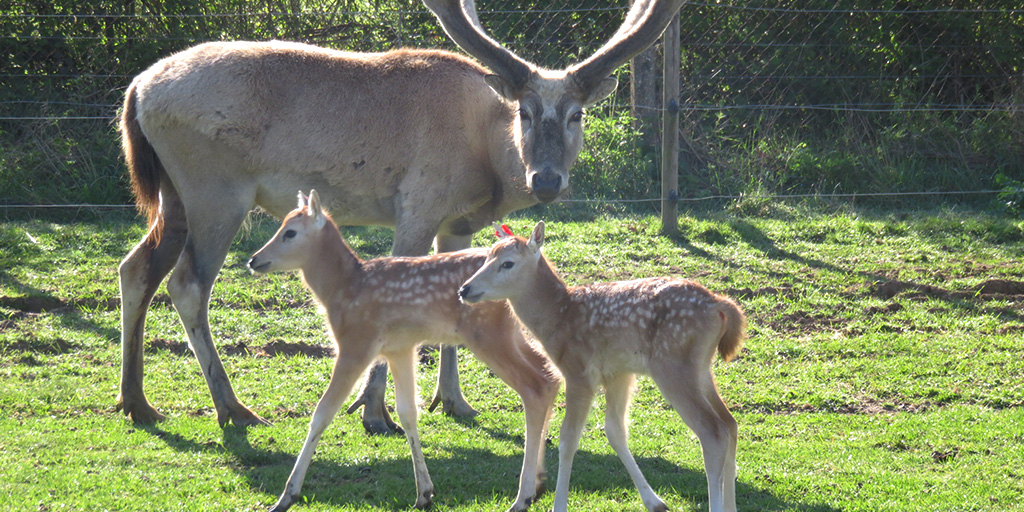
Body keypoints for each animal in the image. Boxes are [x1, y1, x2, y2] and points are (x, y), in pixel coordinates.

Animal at [116, 0, 684, 432]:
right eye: (523, 112)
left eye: (576, 115)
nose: (546, 180)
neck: (485, 158)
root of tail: (136, 88)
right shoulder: (418, 204)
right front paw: (373, 411)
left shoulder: (457, 224)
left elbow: (460, 299)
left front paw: (453, 401)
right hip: (216, 192)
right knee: (187, 282)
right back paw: (232, 407)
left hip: (173, 196)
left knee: (136, 267)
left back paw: (136, 401)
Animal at [247, 192, 557, 512]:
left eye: (290, 232)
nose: (253, 259)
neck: (343, 289)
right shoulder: (400, 348)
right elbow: (408, 412)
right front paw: (424, 492)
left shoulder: (356, 343)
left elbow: (322, 412)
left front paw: (287, 496)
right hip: (511, 331)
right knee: (549, 378)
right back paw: (538, 482)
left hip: (487, 333)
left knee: (534, 388)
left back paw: (524, 495)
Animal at [462, 223, 745, 512]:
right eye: (486, 258)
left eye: (508, 263)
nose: (465, 289)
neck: (557, 316)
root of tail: (719, 304)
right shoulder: (619, 372)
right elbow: (615, 432)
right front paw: (654, 501)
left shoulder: (578, 371)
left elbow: (568, 440)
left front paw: (559, 505)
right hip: (701, 369)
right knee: (730, 424)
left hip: (673, 365)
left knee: (713, 433)